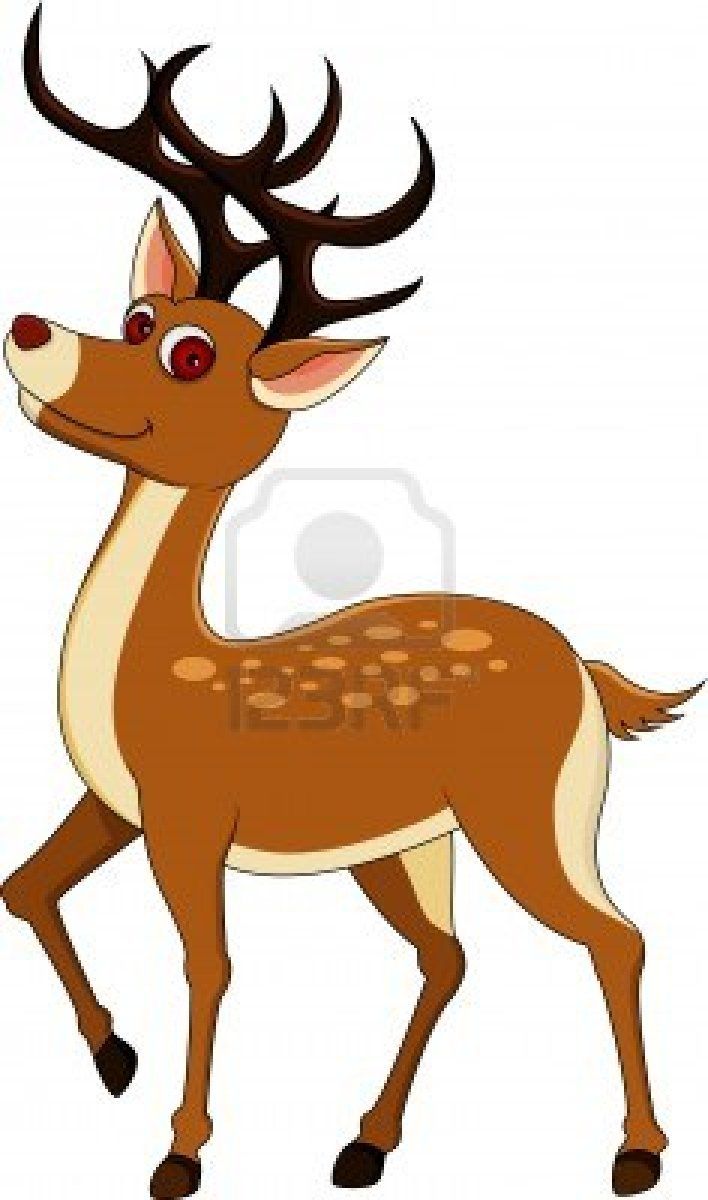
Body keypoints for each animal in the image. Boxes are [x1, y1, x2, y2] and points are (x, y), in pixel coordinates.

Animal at [2, 8, 700, 1199]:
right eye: (137, 315)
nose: (29, 328)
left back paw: (637, 1154)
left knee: (617, 935)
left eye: (192, 353)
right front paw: (112, 1057)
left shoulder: (189, 814)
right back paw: (364, 1142)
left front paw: (178, 1153)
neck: (151, 677)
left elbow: (209, 963)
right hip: (408, 842)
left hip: (529, 814)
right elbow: (23, 887)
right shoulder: (116, 803)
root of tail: (587, 672)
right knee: (451, 954)